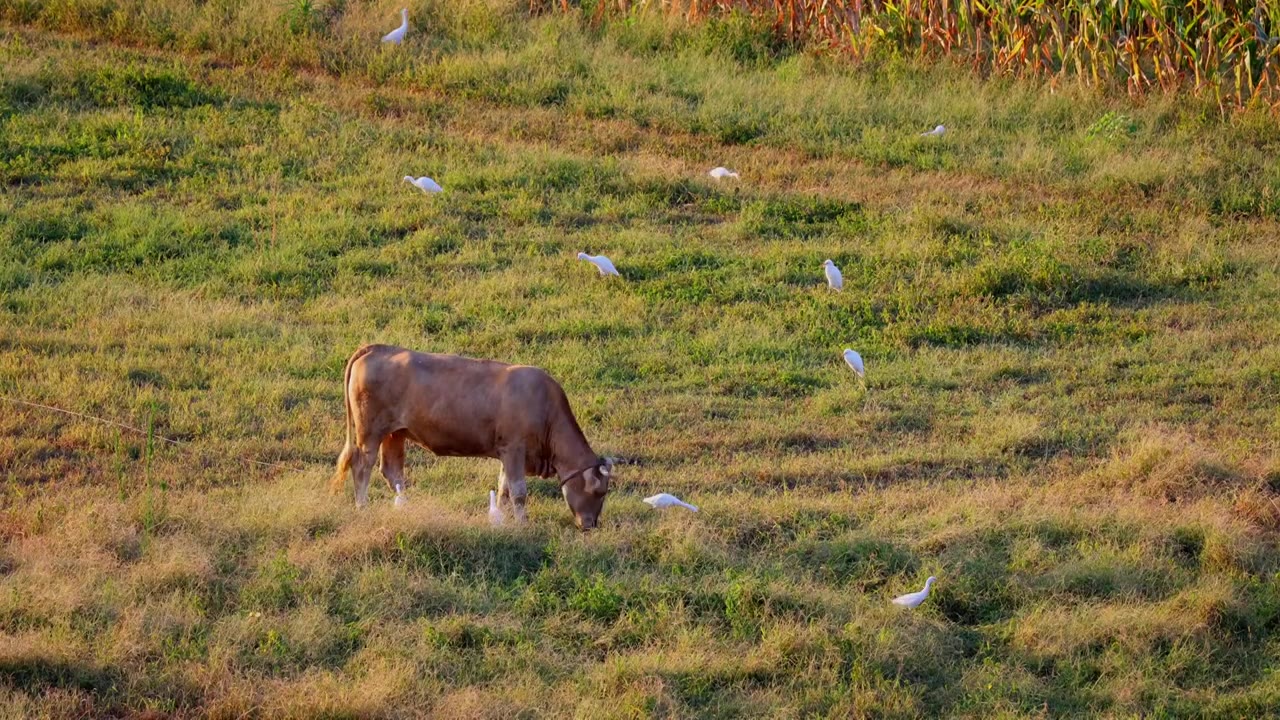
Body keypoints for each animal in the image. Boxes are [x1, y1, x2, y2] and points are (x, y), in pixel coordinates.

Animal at [327, 340, 611, 527]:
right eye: (600, 492)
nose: (590, 525)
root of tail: (378, 347)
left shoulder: (506, 452)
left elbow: (504, 488)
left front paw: (501, 519)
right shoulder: (515, 449)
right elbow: (518, 491)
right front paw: (522, 524)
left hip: (395, 433)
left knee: (392, 472)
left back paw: (404, 506)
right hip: (370, 433)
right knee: (361, 466)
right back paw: (362, 507)